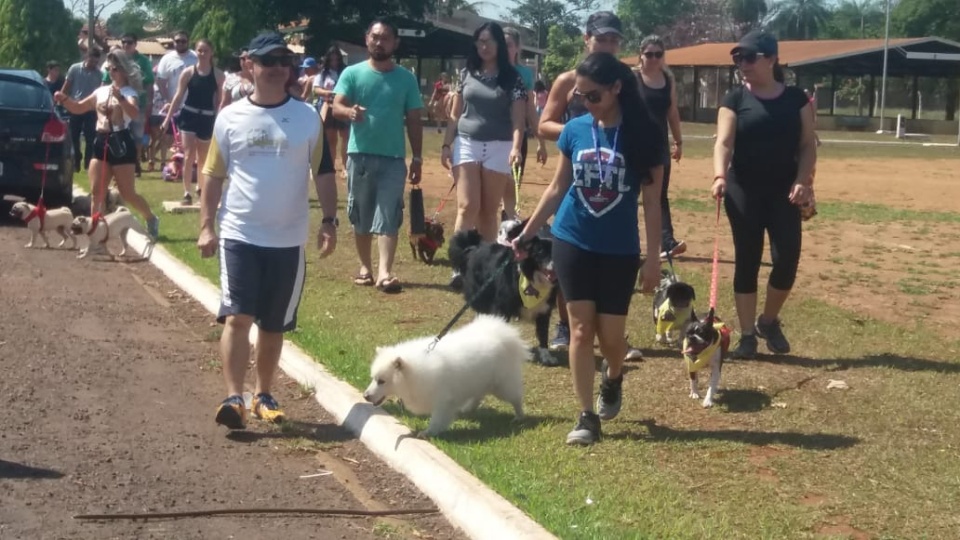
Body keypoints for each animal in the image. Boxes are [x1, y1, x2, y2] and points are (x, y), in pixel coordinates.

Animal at [364, 314, 528, 436]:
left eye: (381, 381)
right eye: (373, 379)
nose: (365, 396)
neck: (413, 373)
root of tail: (501, 335)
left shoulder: (443, 402)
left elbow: (437, 420)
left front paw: (428, 433)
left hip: (502, 386)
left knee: (516, 399)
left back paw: (519, 417)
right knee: (478, 395)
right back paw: (468, 409)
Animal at [450, 219, 564, 368]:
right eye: (540, 251)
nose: (556, 264)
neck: (533, 280)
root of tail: (473, 248)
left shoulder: (544, 310)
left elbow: (543, 334)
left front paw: (546, 356)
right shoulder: (502, 308)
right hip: (482, 295)